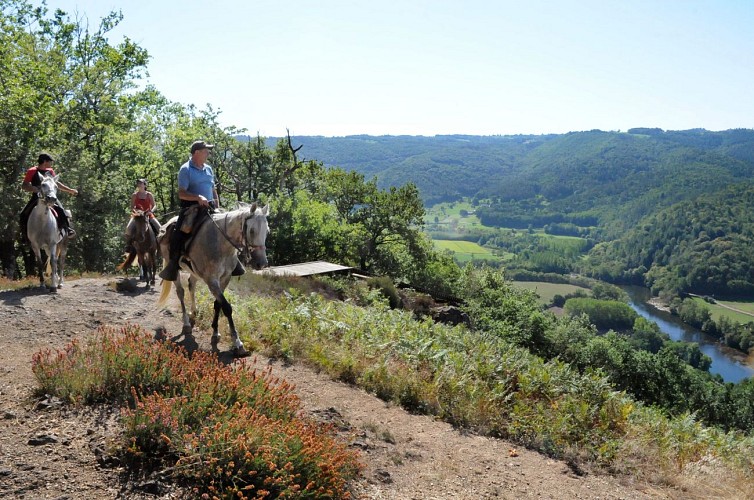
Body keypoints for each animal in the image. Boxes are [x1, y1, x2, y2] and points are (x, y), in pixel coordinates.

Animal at [155, 203, 268, 356]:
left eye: (267, 231)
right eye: (252, 231)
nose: (261, 263)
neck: (221, 244)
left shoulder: (225, 278)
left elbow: (217, 304)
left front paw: (215, 332)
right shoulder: (211, 280)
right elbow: (226, 307)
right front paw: (237, 343)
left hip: (194, 271)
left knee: (191, 285)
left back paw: (194, 312)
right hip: (172, 265)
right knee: (180, 292)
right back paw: (186, 323)